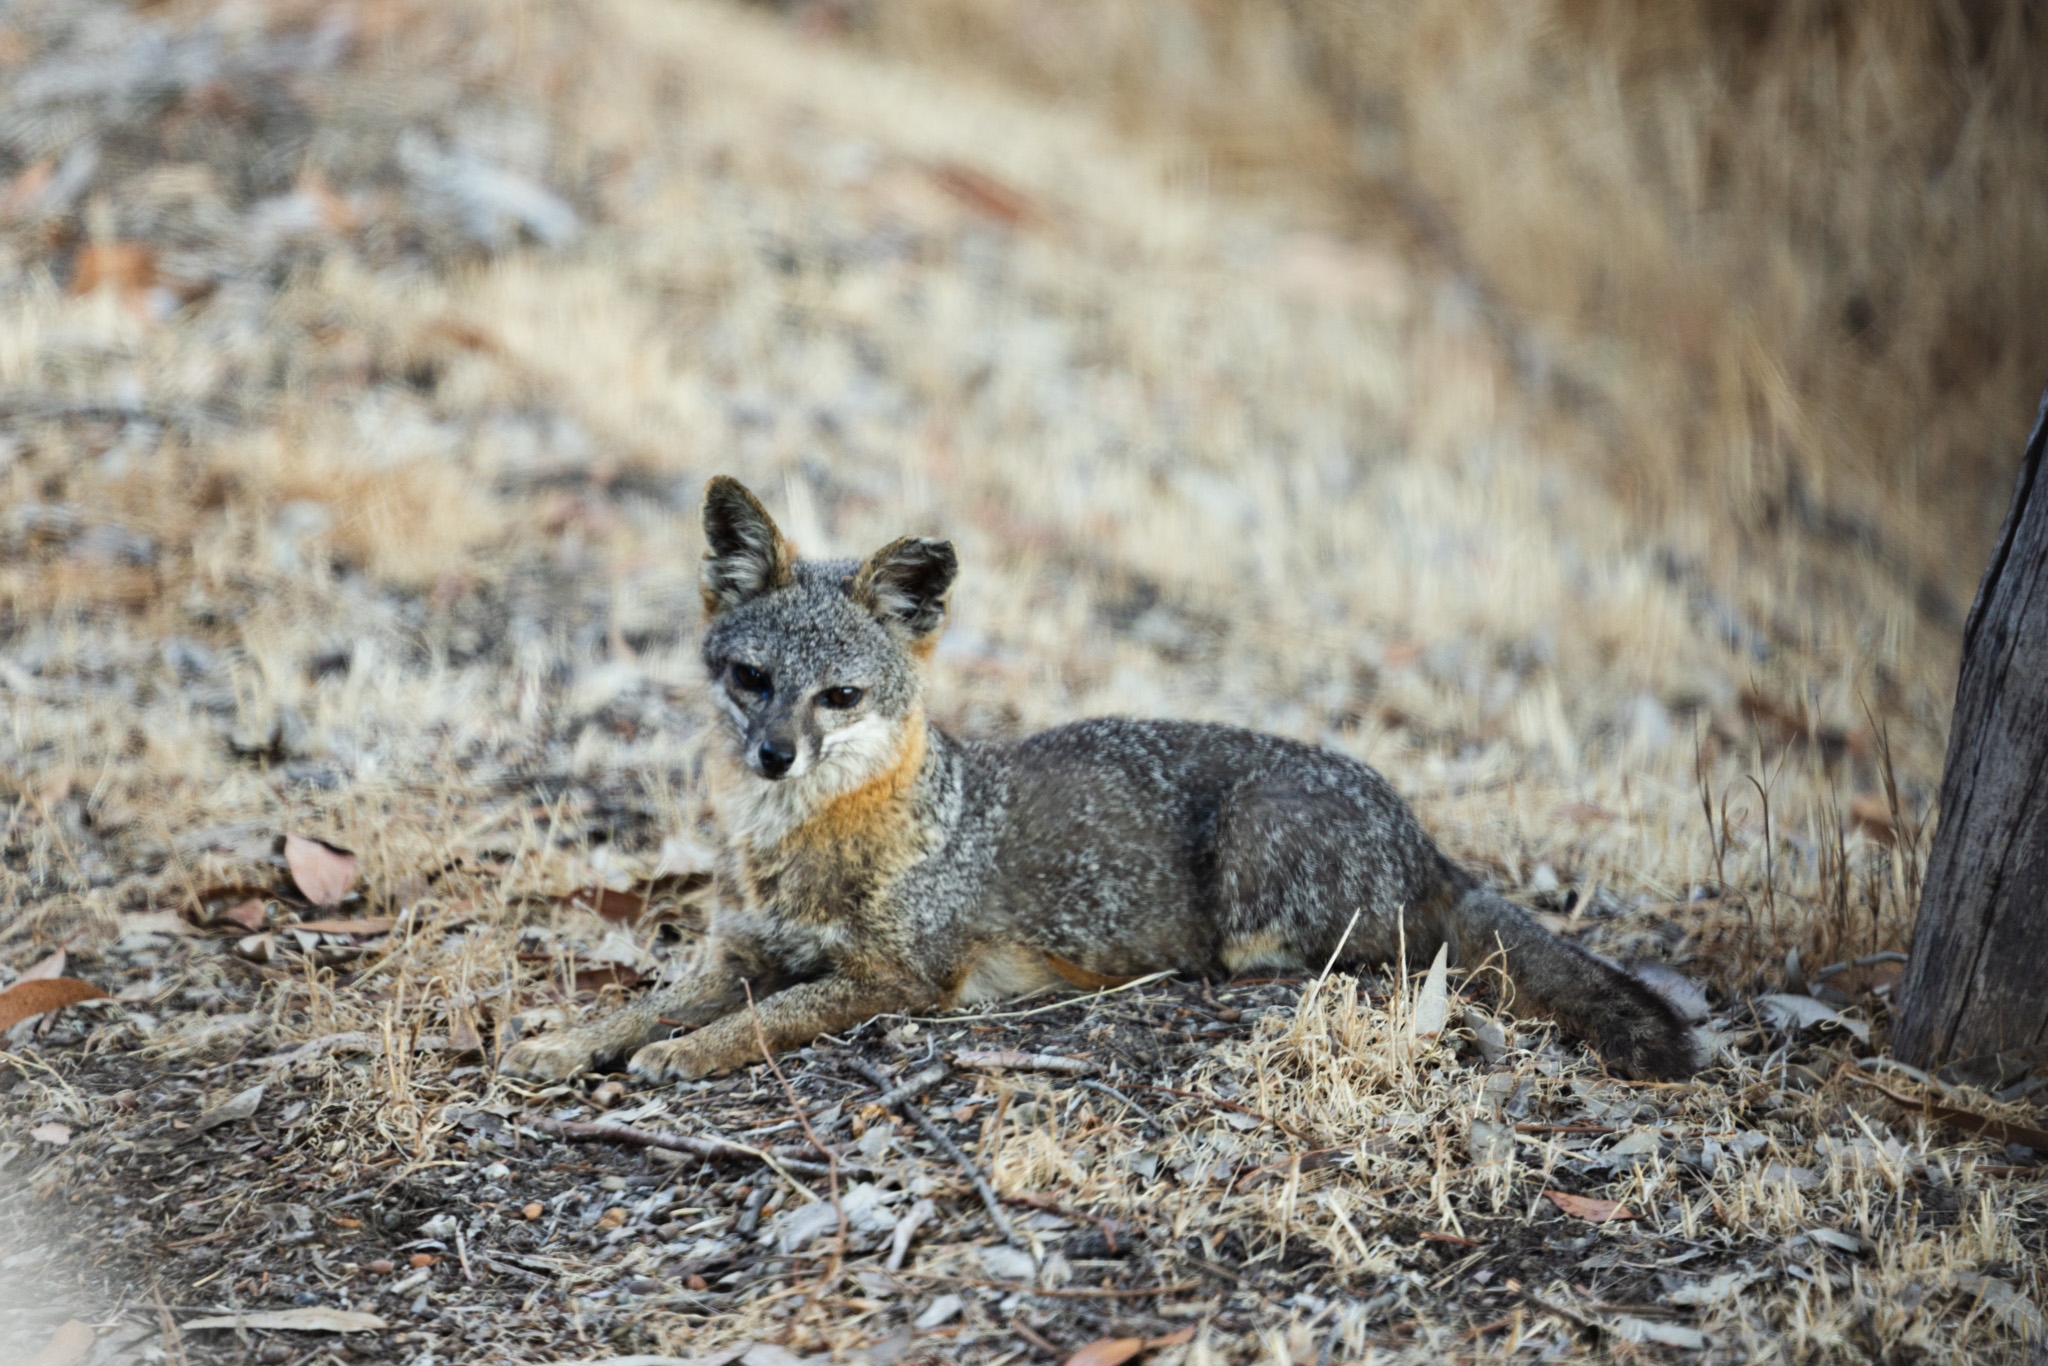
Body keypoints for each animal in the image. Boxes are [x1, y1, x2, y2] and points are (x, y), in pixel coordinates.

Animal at [500, 477, 1702, 1086]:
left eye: (837, 697)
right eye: (752, 680)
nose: (773, 755)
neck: (801, 847)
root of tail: (1418, 832)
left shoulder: (892, 979)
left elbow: (764, 1019)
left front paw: (685, 1053)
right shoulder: (738, 951)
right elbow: (651, 1000)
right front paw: (570, 1041)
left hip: (1257, 865)